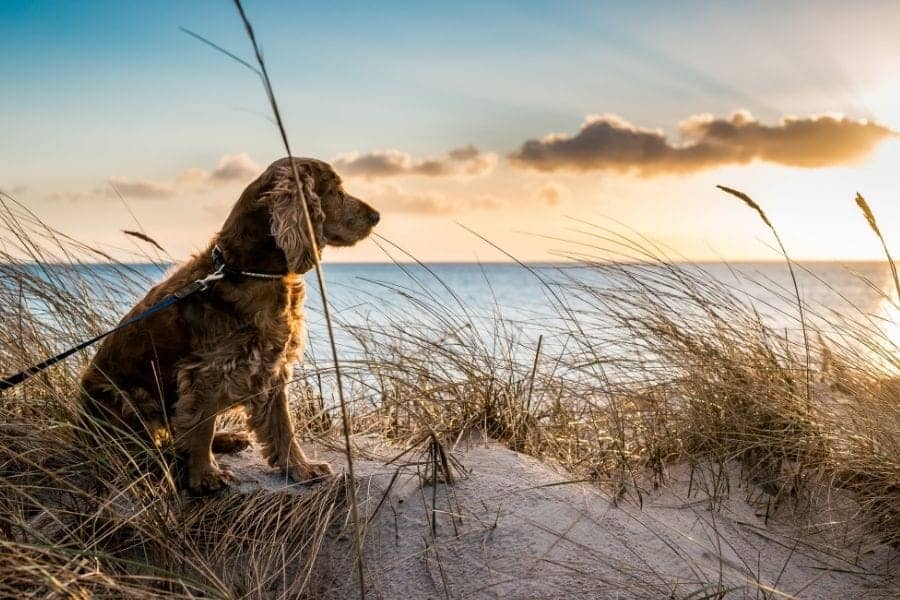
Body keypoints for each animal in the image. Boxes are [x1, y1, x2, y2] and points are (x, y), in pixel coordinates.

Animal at [81, 157, 380, 494]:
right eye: (336, 191)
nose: (377, 216)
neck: (246, 270)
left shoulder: (272, 365)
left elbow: (283, 426)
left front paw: (301, 468)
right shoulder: (207, 372)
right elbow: (201, 427)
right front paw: (206, 475)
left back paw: (228, 439)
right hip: (129, 398)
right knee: (148, 445)